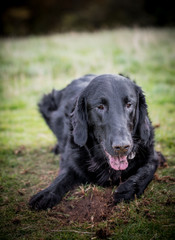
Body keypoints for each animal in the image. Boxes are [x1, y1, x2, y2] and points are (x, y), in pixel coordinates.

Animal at [29, 73, 163, 210]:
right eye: (100, 107)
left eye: (129, 104)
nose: (122, 146)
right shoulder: (72, 160)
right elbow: (63, 177)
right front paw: (47, 193)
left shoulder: (151, 154)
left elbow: (148, 169)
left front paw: (130, 188)